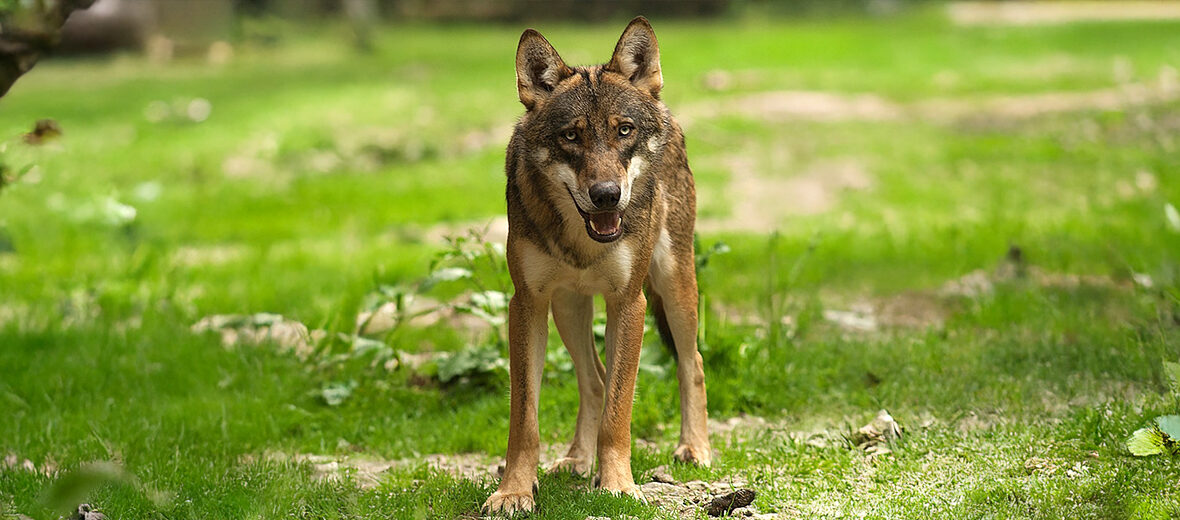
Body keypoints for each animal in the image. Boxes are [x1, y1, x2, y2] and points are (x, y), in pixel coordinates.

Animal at [483, 17, 710, 515]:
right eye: (571, 136)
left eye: (624, 130)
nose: (607, 195)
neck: (582, 239)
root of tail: (665, 109)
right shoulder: (526, 304)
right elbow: (524, 419)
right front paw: (514, 491)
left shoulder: (630, 303)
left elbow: (619, 411)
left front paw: (619, 485)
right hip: (569, 309)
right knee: (594, 380)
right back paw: (576, 460)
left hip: (675, 287)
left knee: (693, 362)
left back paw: (694, 448)